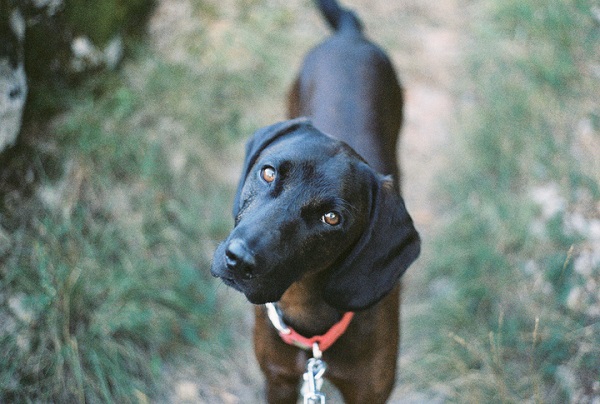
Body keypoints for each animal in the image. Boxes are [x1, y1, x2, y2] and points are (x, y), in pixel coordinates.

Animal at [213, 0, 420, 400]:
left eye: (332, 218)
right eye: (267, 173)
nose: (237, 259)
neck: (312, 335)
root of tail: (349, 36)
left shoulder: (370, 393)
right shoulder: (277, 381)